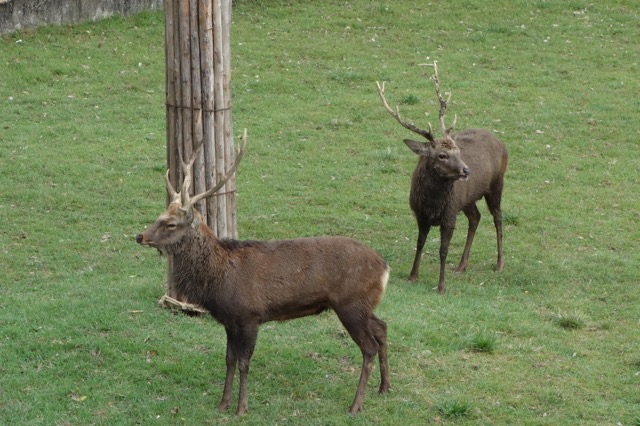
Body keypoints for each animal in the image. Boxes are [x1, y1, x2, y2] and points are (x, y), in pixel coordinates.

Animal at [136, 131, 390, 416]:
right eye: (159, 215)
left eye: (170, 223)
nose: (140, 236)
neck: (219, 280)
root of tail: (384, 267)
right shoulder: (229, 320)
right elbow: (229, 359)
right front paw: (222, 404)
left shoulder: (250, 316)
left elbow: (244, 362)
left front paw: (241, 408)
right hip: (362, 305)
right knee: (382, 327)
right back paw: (384, 388)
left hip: (350, 305)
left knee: (369, 348)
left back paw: (355, 405)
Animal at [378, 63, 508, 294]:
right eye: (442, 155)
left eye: (458, 151)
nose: (466, 170)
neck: (433, 202)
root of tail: (502, 144)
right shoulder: (420, 213)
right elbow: (420, 243)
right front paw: (413, 276)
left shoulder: (449, 214)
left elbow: (443, 250)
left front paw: (441, 286)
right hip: (467, 199)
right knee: (476, 217)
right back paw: (462, 265)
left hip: (496, 184)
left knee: (498, 217)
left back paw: (499, 264)